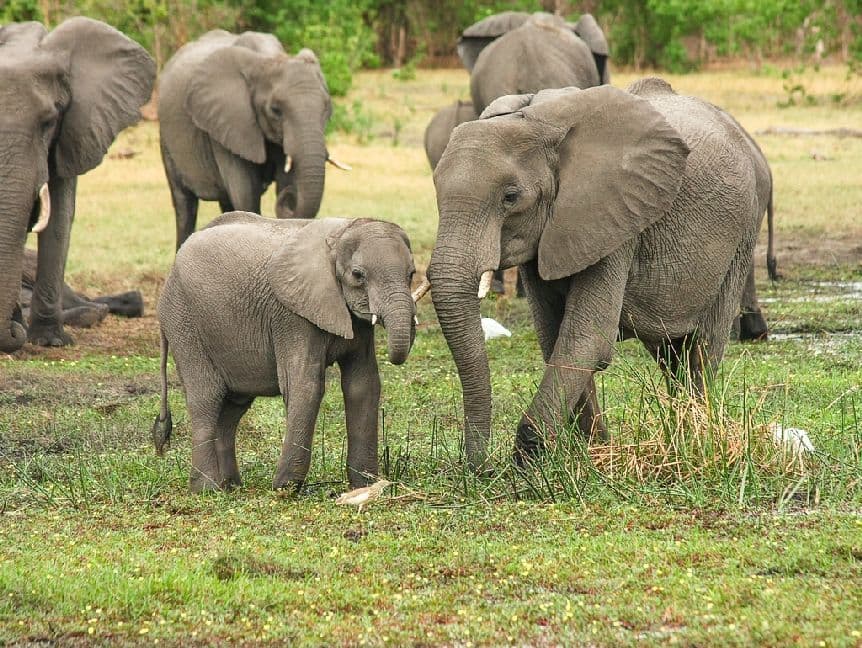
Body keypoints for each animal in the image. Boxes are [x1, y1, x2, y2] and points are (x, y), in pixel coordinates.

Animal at [152, 212, 419, 493]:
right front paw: (285, 488)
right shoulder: (292, 316)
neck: (340, 234)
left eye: (412, 274)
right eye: (358, 275)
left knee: (232, 407)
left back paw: (231, 486)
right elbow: (305, 385)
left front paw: (365, 486)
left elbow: (363, 385)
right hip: (183, 321)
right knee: (206, 398)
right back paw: (207, 489)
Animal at [158, 30, 345, 250]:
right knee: (184, 205)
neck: (268, 59)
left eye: (327, 108)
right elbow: (245, 193)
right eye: (275, 110)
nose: (289, 197)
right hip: (167, 140)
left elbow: (283, 180)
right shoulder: (229, 124)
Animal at [425, 79, 776, 470]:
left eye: (510, 197)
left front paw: (530, 458)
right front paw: (591, 450)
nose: (481, 468)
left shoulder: (616, 219)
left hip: (742, 234)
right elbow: (554, 335)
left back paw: (694, 436)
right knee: (670, 352)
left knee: (703, 345)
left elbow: (586, 337)